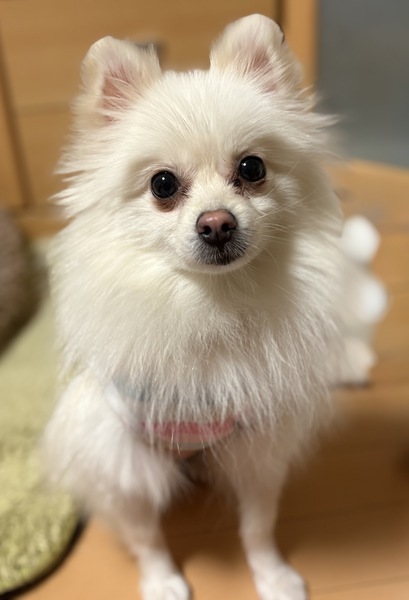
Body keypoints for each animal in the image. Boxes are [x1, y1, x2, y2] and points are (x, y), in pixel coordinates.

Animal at [44, 15, 386, 600]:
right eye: (162, 184)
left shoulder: (258, 445)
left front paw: (272, 575)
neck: (210, 303)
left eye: (251, 168)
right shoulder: (123, 458)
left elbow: (258, 526)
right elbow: (147, 536)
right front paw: (162, 582)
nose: (217, 224)